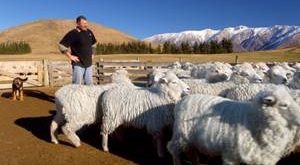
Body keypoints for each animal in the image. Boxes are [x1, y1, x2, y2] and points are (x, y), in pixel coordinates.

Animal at [168, 86, 300, 165]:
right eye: (284, 105)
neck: (253, 120)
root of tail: (182, 100)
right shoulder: (230, 155)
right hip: (180, 135)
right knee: (173, 149)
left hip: (191, 138)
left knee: (192, 150)